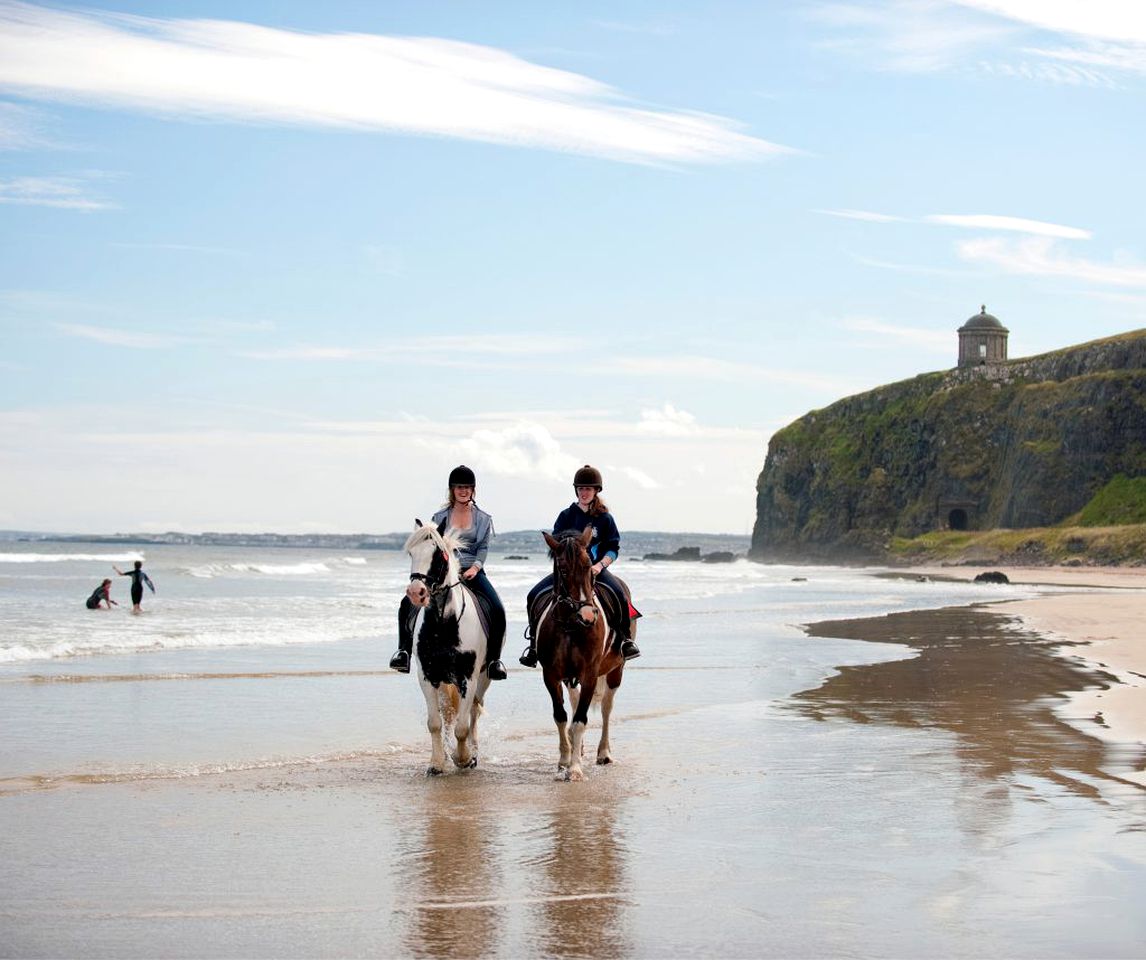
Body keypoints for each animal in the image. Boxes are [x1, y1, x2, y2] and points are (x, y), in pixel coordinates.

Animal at [405, 522, 490, 778]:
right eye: (411, 553)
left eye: (438, 555)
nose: (416, 593)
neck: (443, 623)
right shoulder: (427, 676)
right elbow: (435, 722)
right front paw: (437, 762)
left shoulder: (468, 678)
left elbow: (462, 726)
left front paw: (462, 758)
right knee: (448, 713)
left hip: (483, 679)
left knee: (473, 713)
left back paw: (473, 752)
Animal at [534, 526, 628, 783]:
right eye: (564, 569)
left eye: (589, 566)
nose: (588, 616)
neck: (570, 625)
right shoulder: (551, 675)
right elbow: (561, 715)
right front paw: (565, 760)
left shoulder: (589, 674)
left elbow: (580, 720)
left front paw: (575, 769)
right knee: (575, 703)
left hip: (616, 670)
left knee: (606, 708)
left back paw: (604, 753)